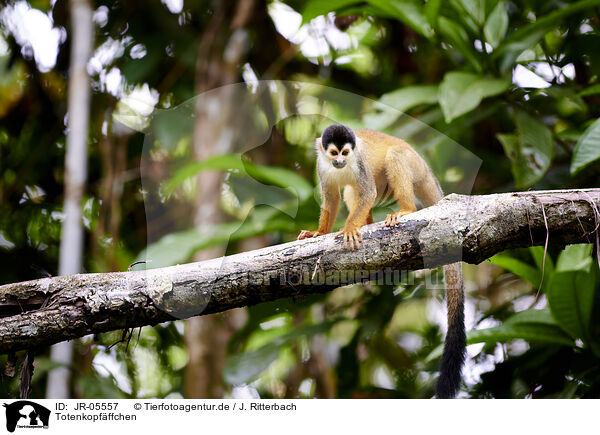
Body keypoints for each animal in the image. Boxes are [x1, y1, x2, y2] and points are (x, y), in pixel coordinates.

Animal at [298, 123, 466, 398]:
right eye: (334, 153)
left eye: (345, 152)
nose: (340, 162)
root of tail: (424, 165)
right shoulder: (321, 166)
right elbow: (332, 197)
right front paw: (319, 233)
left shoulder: (360, 164)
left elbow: (368, 193)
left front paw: (349, 228)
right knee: (349, 190)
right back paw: (367, 222)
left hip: (414, 167)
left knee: (393, 158)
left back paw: (405, 210)